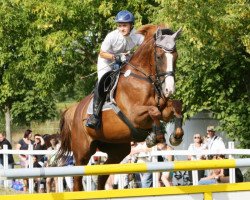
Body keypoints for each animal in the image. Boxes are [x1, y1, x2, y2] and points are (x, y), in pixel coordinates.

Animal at [57, 24, 185, 191]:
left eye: (175, 57)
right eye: (159, 57)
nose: (169, 90)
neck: (143, 78)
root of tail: (75, 110)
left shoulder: (165, 109)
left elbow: (176, 107)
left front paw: (175, 136)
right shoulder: (134, 114)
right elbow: (154, 111)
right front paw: (155, 137)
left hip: (117, 149)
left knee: (102, 175)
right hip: (82, 151)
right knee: (78, 180)